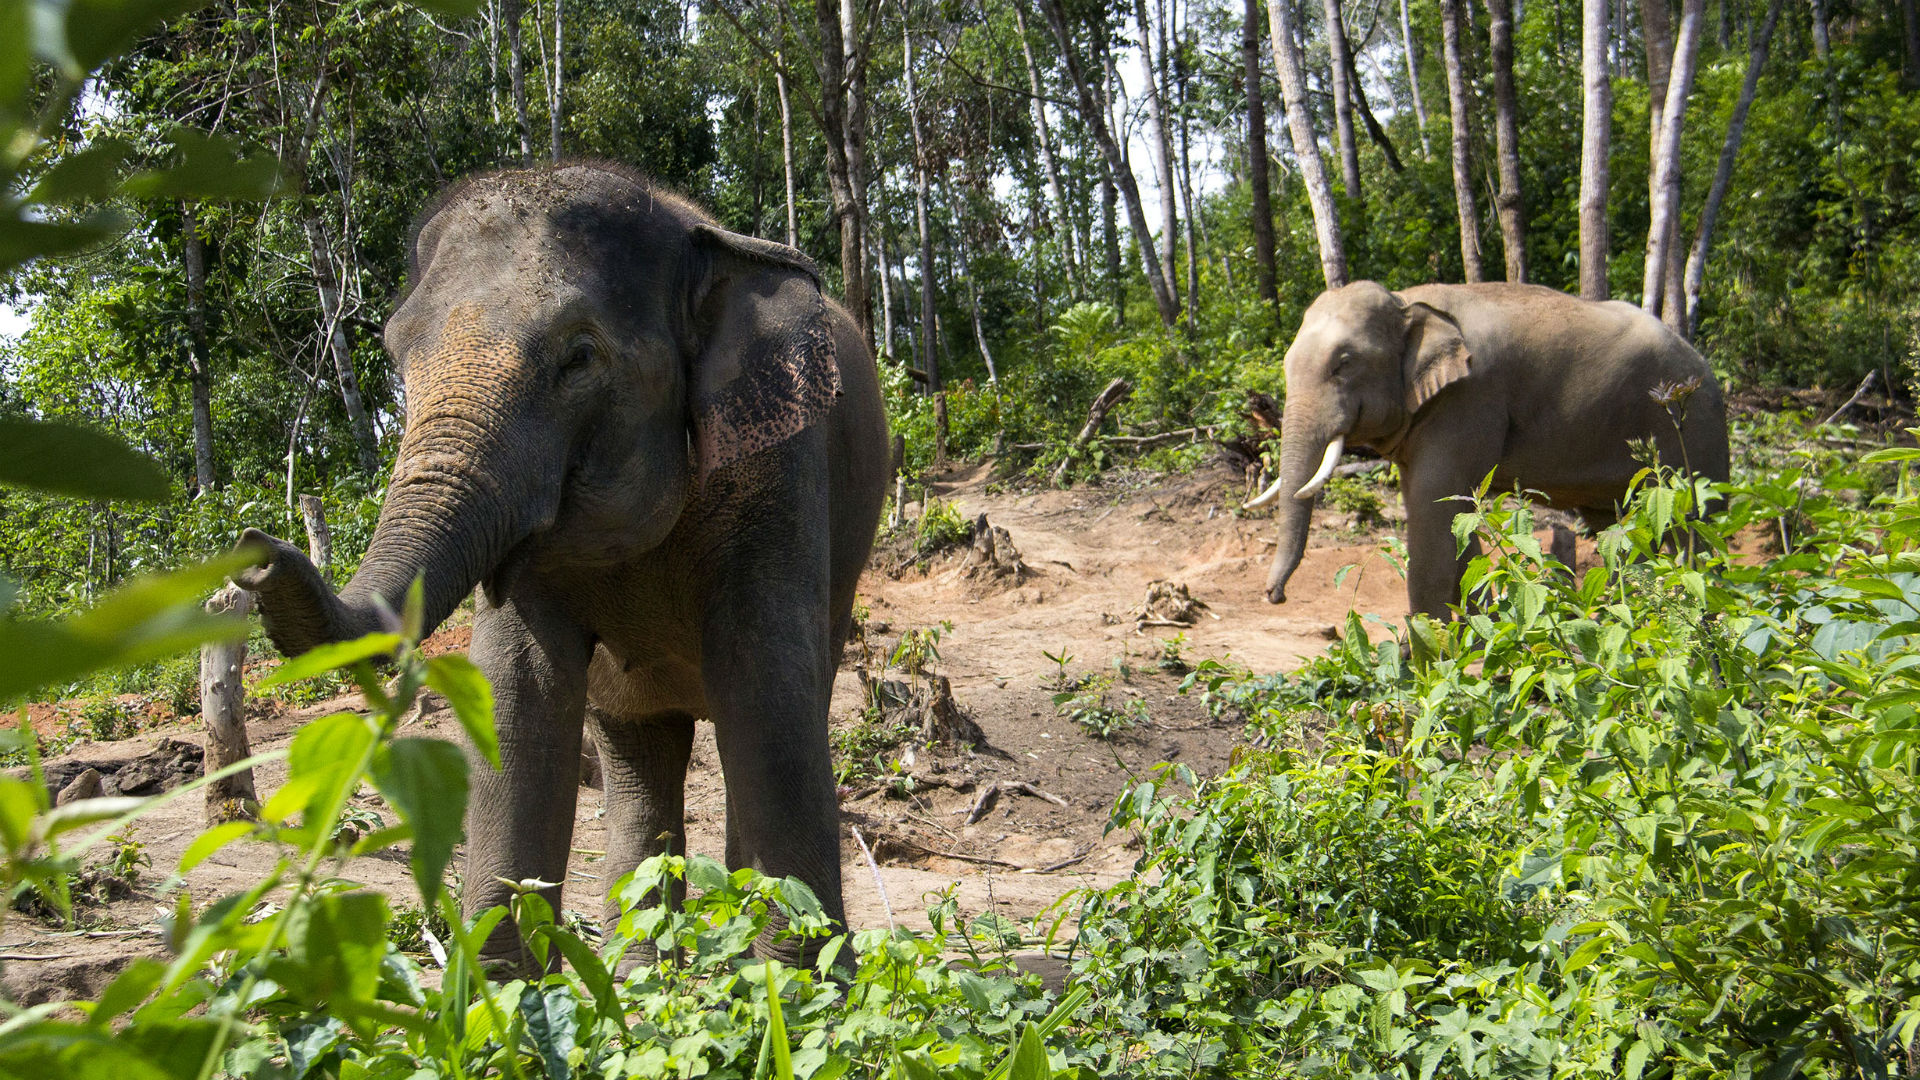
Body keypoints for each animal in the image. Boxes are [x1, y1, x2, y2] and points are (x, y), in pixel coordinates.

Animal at [234, 164, 890, 972]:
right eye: (393, 355)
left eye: (579, 357)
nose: (255, 554)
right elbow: (516, 694)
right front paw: (499, 987)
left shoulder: (781, 464)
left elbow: (764, 679)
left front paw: (794, 983)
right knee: (638, 751)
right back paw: (636, 968)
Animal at [1251, 278, 1735, 614]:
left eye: (1344, 364)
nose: (1275, 595)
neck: (1408, 301)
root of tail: (1704, 364)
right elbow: (1454, 519)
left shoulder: (1470, 398)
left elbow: (1433, 514)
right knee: (1617, 532)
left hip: (1695, 430)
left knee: (1697, 528)